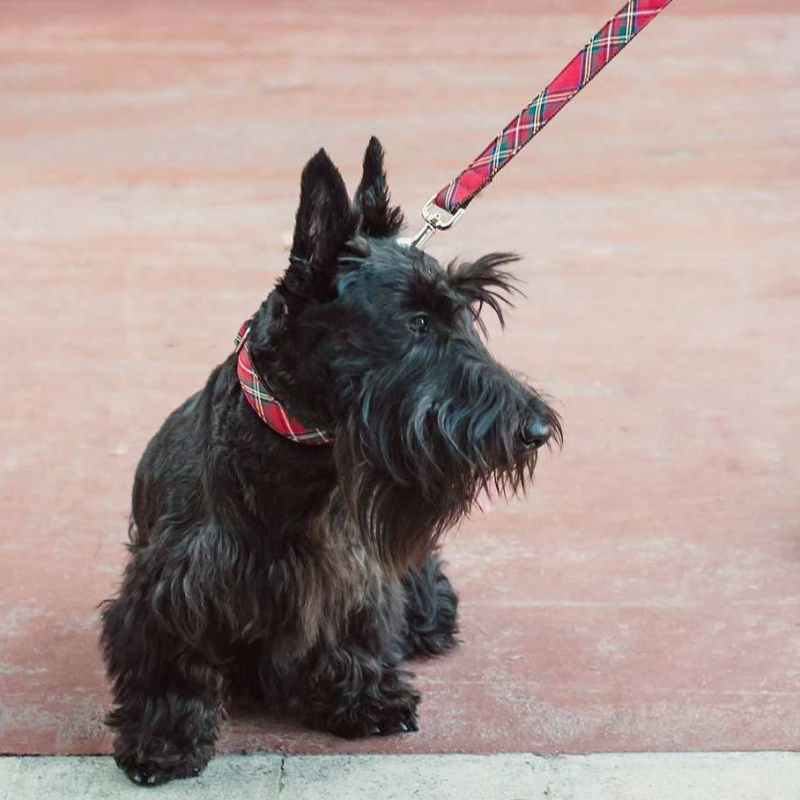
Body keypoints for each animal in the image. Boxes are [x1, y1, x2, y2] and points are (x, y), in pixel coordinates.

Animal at [100, 136, 560, 780]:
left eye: (465, 314)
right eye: (417, 323)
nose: (535, 430)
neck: (298, 457)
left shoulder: (354, 567)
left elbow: (353, 629)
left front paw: (365, 699)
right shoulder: (174, 581)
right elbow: (172, 658)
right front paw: (163, 738)